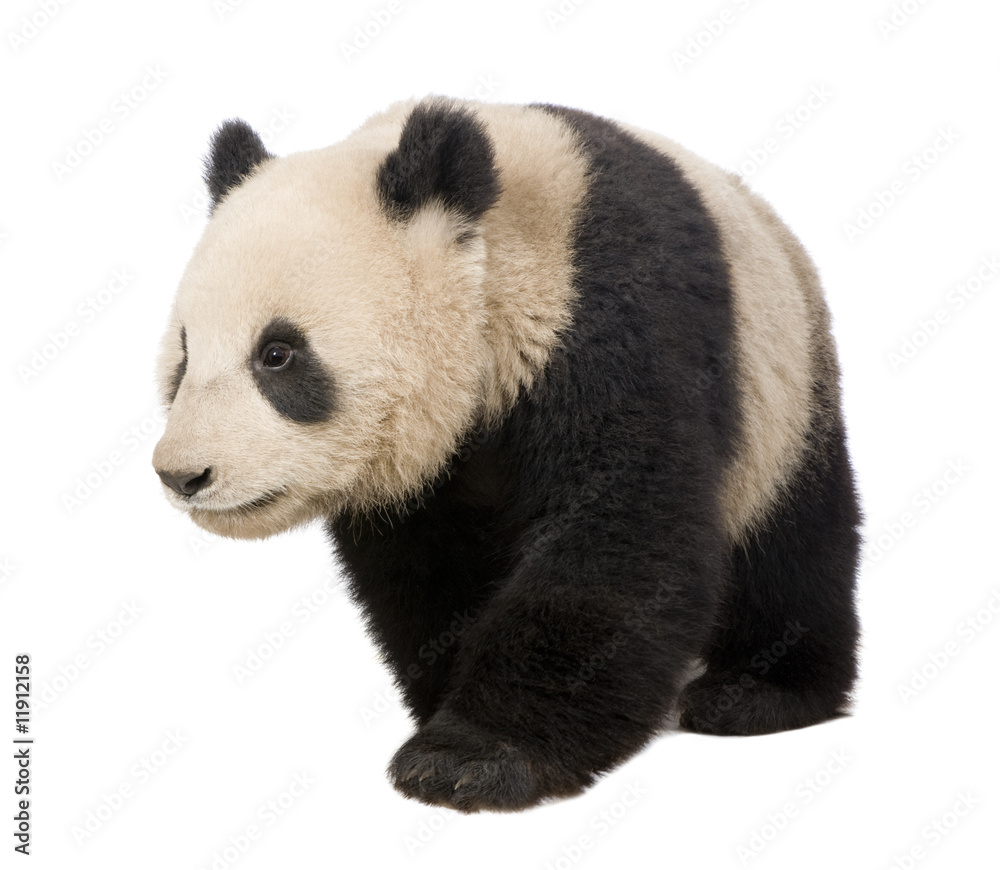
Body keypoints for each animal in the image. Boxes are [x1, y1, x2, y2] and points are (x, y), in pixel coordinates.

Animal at [153, 97, 861, 813]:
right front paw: (448, 710)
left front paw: (475, 758)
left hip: (784, 393)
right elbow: (428, 566)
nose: (183, 474)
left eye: (278, 354)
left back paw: (757, 692)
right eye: (184, 356)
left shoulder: (616, 321)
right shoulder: (425, 472)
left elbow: (619, 535)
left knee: (793, 546)